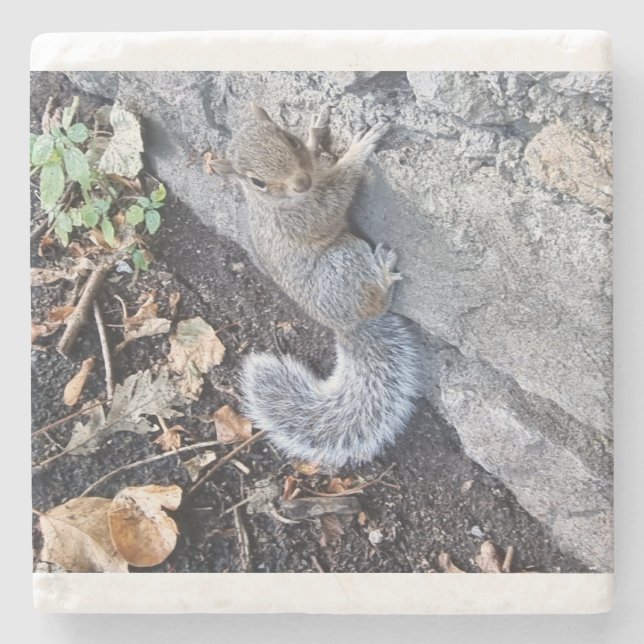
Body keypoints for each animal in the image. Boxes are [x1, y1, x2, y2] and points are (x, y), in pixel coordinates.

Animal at [212, 103, 422, 468]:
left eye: (290, 140)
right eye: (257, 182)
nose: (301, 182)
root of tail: (346, 325)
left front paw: (315, 135)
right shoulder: (307, 213)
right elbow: (337, 192)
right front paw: (359, 149)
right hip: (345, 259)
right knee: (376, 300)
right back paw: (383, 272)